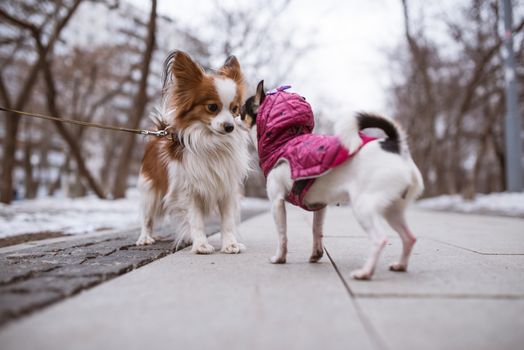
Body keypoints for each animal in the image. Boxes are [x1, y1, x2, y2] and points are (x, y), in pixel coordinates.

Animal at [135, 51, 250, 254]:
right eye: (212, 107)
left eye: (235, 109)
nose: (229, 127)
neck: (211, 142)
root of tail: (159, 132)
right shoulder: (188, 193)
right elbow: (196, 221)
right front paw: (201, 245)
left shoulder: (226, 190)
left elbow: (227, 222)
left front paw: (230, 244)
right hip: (150, 192)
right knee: (147, 218)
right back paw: (145, 238)